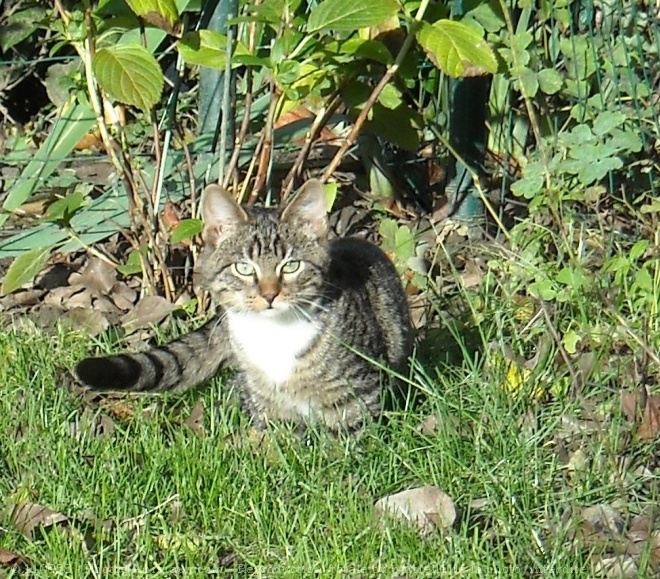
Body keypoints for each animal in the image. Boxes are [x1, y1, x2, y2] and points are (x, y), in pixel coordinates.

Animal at [73, 179, 412, 432]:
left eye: (291, 266)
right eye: (244, 268)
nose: (270, 294)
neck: (274, 334)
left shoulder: (359, 393)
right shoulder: (265, 404)